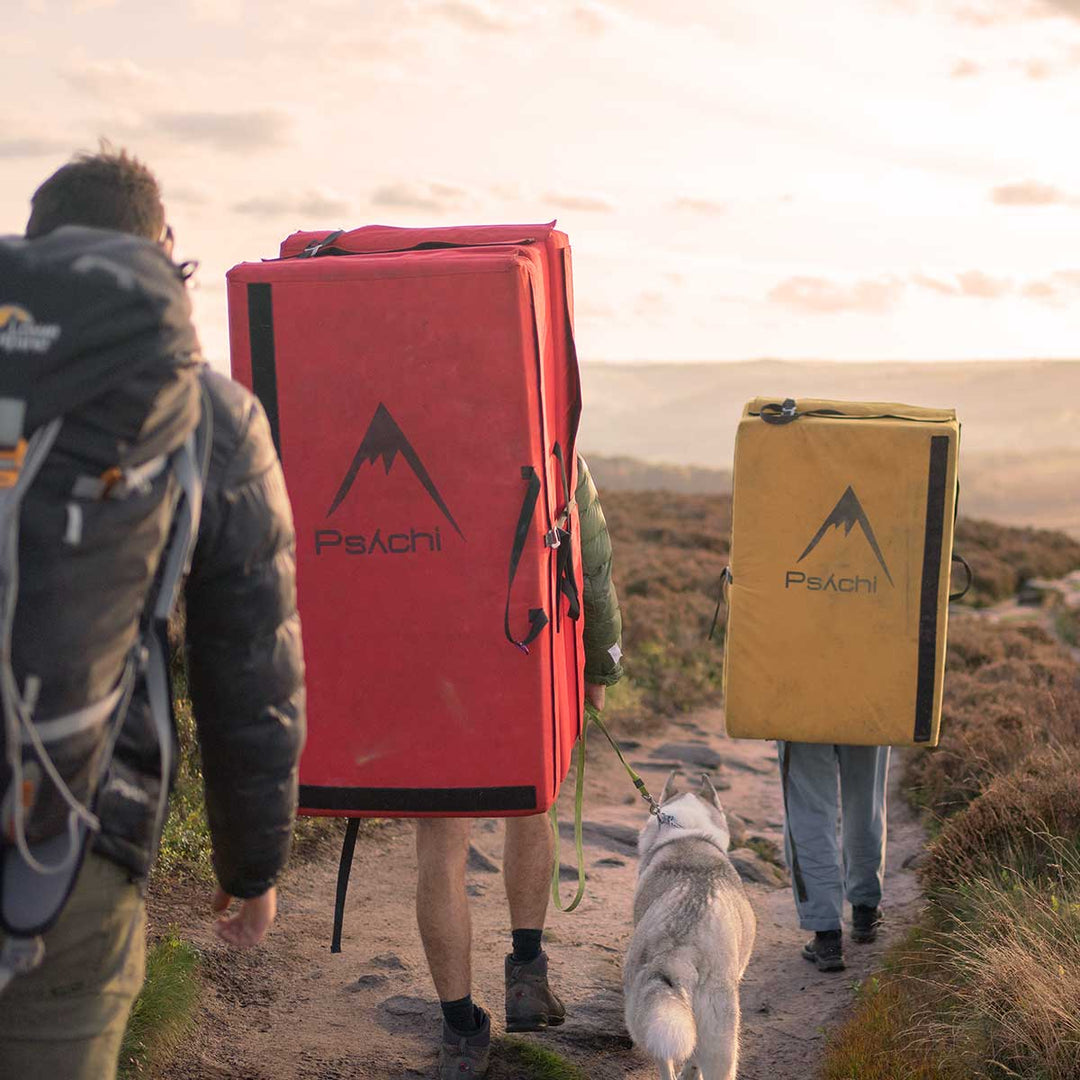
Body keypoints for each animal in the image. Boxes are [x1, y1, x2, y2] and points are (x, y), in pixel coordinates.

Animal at [622, 773, 756, 1075]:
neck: (688, 834)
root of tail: (680, 952)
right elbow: (694, 1059)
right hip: (722, 1038)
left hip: (652, 1014)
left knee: (665, 1059)